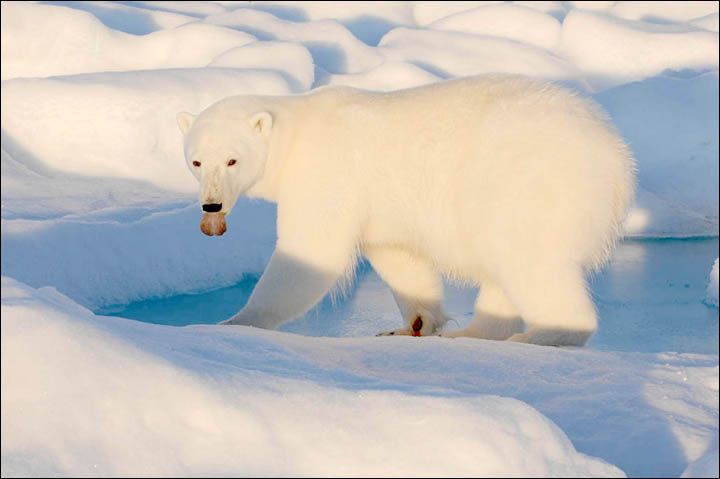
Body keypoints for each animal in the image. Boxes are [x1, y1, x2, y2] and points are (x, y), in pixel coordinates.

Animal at [179, 75, 636, 346]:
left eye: (233, 160)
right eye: (197, 161)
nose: (212, 204)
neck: (295, 134)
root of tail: (615, 160)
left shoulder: (326, 174)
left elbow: (310, 253)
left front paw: (232, 324)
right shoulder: (379, 208)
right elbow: (398, 257)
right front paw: (413, 323)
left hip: (529, 188)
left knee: (530, 262)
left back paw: (540, 336)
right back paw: (471, 333)